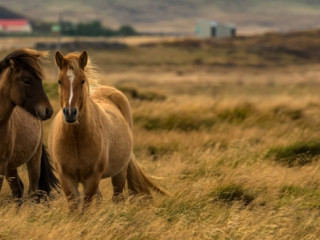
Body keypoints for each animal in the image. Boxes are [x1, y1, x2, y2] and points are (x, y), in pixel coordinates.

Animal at [0, 47, 58, 202]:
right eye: (27, 80)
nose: (48, 110)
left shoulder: (2, 163)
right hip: (11, 166)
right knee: (17, 190)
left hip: (33, 158)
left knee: (32, 191)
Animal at [49, 50, 165, 210]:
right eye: (60, 81)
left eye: (82, 80)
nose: (70, 113)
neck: (75, 139)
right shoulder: (66, 178)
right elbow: (75, 209)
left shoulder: (92, 178)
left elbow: (85, 209)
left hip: (119, 173)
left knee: (118, 197)